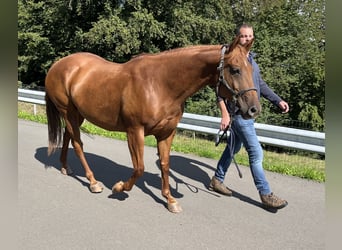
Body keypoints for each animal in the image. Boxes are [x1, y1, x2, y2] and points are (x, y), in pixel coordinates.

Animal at [44, 35, 260, 213]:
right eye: (235, 69)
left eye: (251, 69)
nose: (253, 109)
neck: (160, 84)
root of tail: (58, 65)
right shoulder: (134, 131)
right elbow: (139, 167)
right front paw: (119, 187)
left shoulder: (167, 133)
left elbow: (165, 164)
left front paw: (170, 200)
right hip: (68, 112)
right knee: (77, 143)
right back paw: (93, 181)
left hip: (77, 114)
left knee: (67, 136)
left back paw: (65, 167)